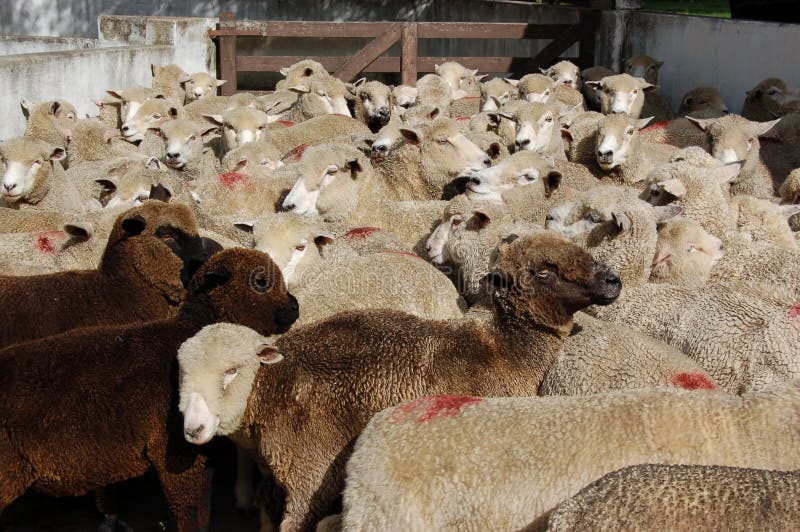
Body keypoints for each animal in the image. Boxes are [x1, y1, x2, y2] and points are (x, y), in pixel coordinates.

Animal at [0, 248, 298, 531]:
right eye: (260, 282)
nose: (295, 307)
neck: (186, 333)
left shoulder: (200, 458)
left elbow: (202, 512)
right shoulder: (176, 454)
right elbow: (190, 514)